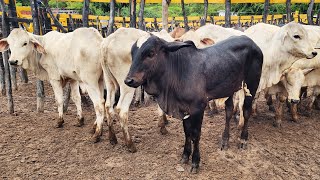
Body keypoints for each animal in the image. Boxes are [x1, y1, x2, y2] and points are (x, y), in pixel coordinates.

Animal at [125, 34, 262, 173]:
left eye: (151, 53)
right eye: (132, 53)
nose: (129, 80)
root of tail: (251, 41)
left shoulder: (198, 108)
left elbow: (195, 134)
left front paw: (195, 162)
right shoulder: (184, 109)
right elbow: (187, 132)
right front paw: (185, 156)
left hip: (252, 84)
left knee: (246, 111)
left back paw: (243, 140)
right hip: (229, 89)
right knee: (228, 112)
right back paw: (224, 141)